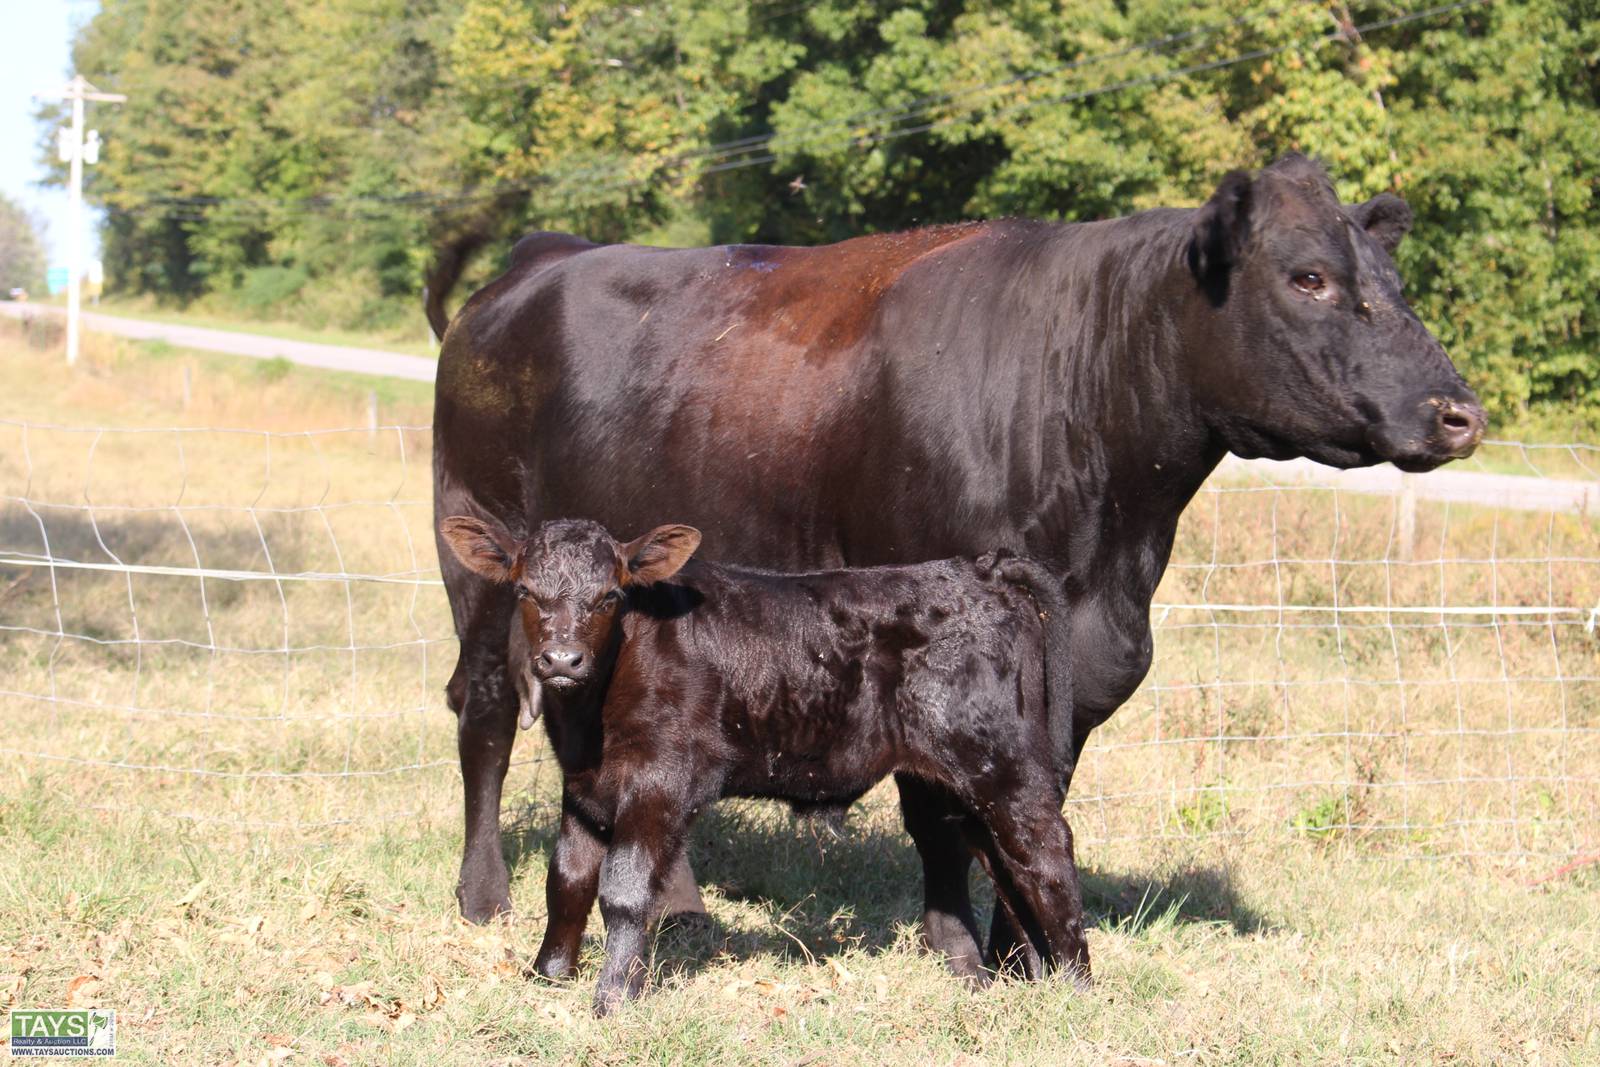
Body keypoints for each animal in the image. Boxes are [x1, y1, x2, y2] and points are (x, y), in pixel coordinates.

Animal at [438, 513, 1089, 1012]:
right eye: (526, 592)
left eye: (609, 597)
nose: (561, 660)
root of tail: (975, 569)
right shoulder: (584, 788)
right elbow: (567, 881)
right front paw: (545, 976)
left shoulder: (659, 780)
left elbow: (623, 888)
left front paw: (612, 999)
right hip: (959, 784)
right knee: (1008, 866)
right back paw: (1040, 982)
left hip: (1000, 762)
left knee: (1045, 853)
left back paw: (1077, 987)